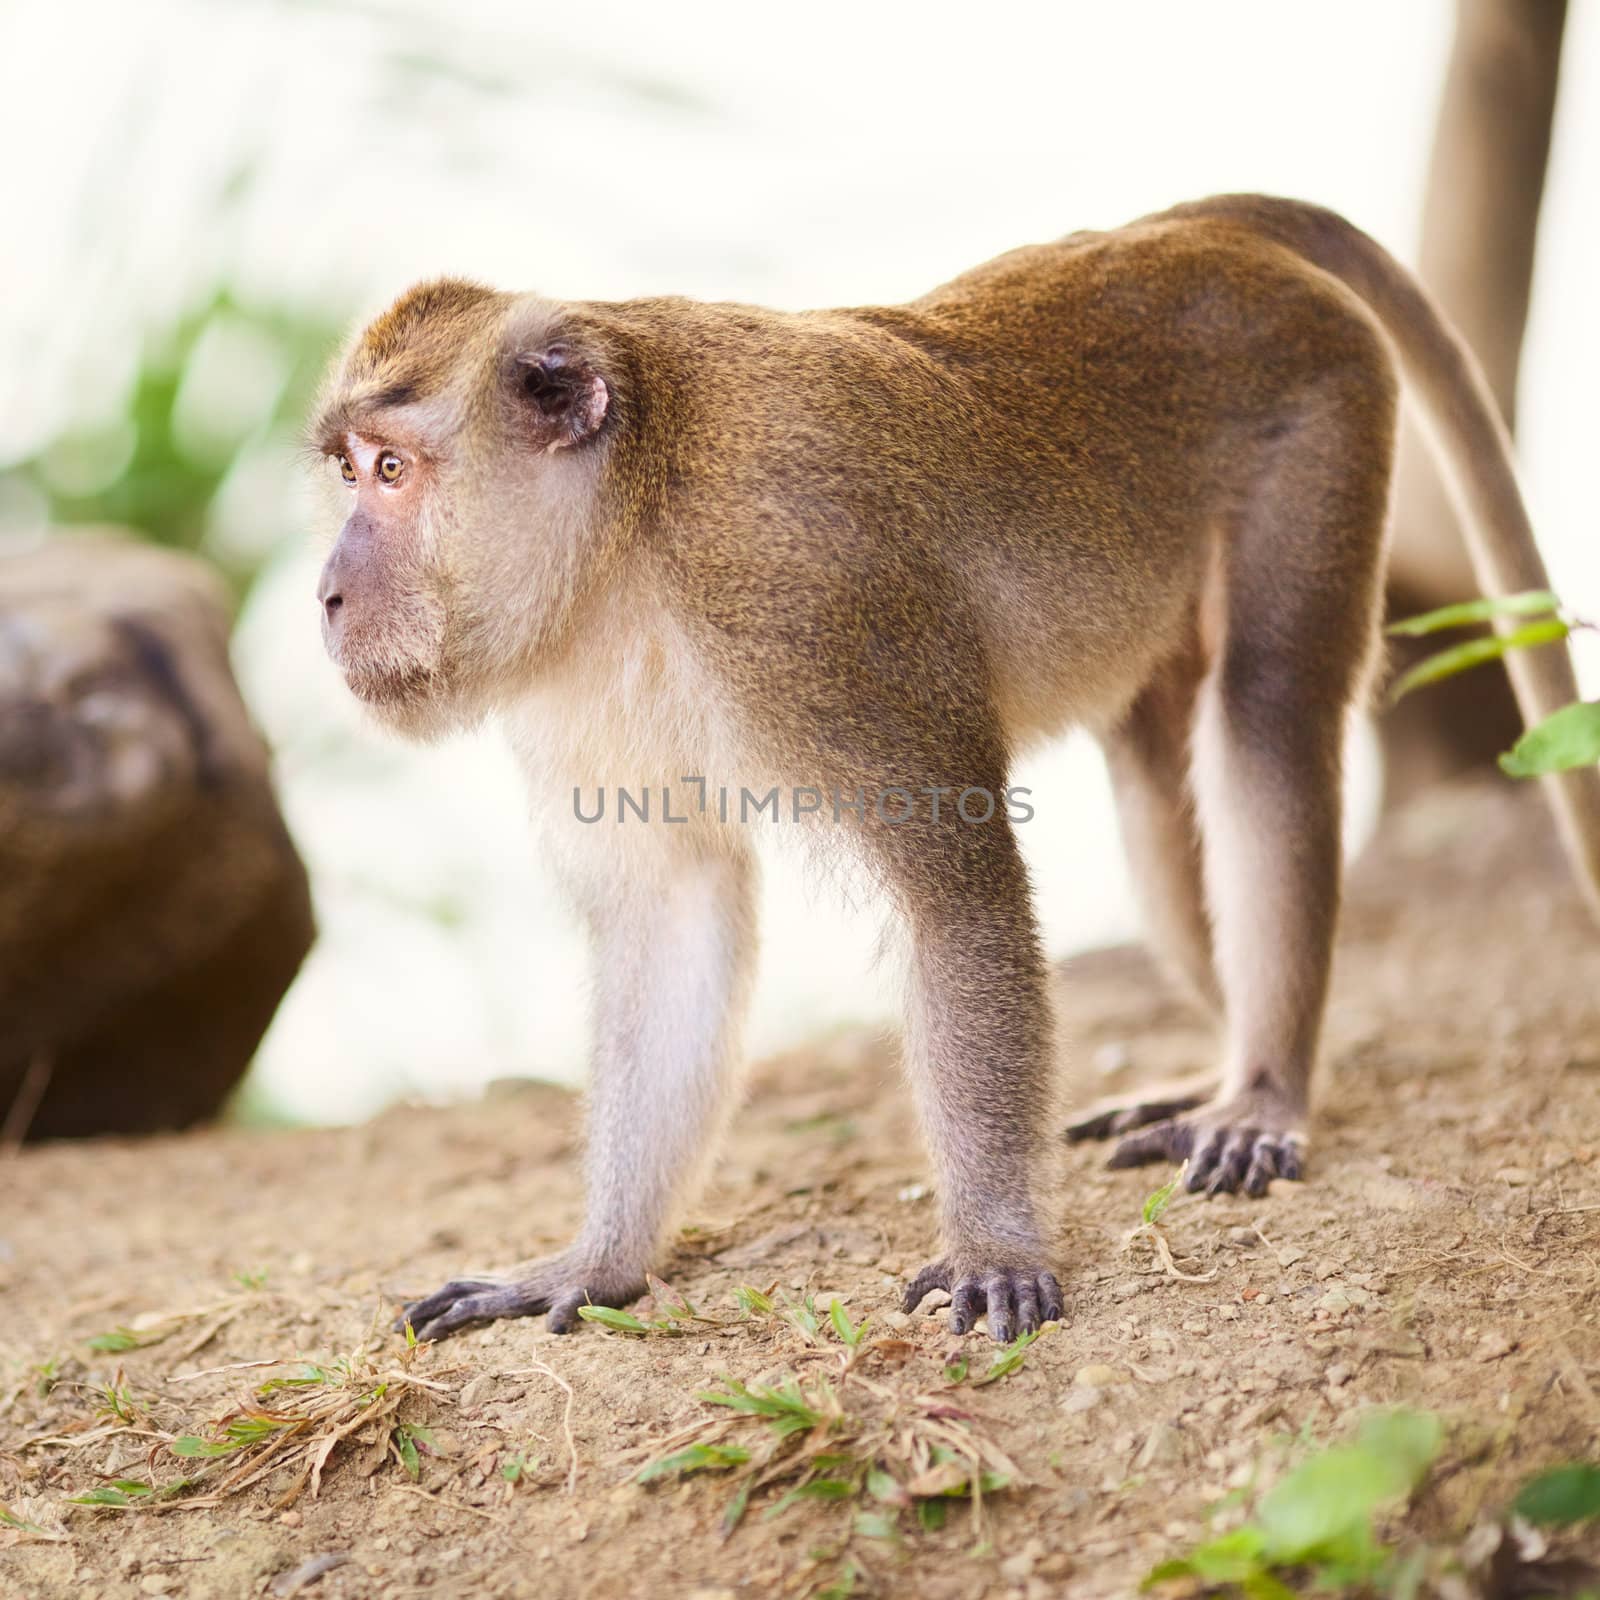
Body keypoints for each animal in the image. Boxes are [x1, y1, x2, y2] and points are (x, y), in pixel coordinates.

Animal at [308, 193, 1600, 1344]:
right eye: (349, 471)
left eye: (391, 469)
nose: (323, 593)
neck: (633, 521)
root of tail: (1181, 231)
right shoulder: (576, 690)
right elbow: (671, 910)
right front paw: (596, 1259)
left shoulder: (808, 592)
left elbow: (957, 892)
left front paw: (993, 1245)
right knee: (1152, 763)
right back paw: (1219, 1070)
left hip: (1320, 405)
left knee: (1265, 715)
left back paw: (1264, 1090)